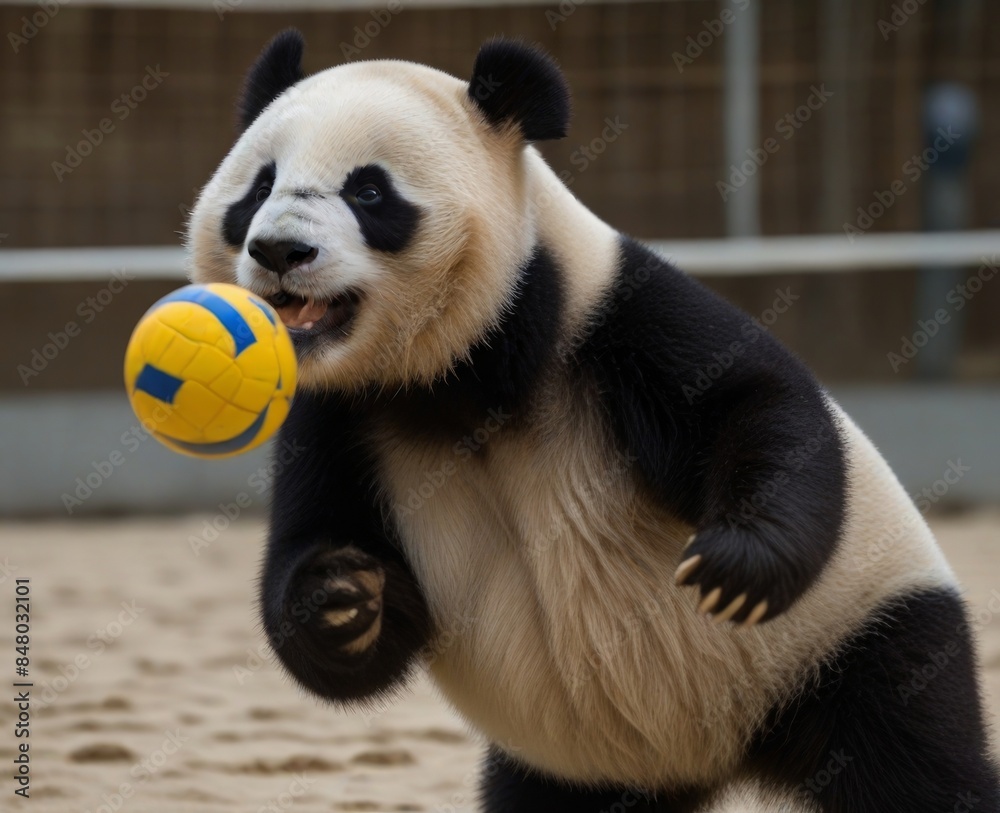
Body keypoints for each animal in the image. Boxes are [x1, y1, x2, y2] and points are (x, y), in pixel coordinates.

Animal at [187, 30, 1000, 812]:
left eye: (368, 190)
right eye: (259, 187)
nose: (280, 249)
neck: (451, 375)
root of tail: (716, 753)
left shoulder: (603, 313)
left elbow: (755, 405)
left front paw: (738, 567)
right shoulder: (336, 412)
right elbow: (315, 547)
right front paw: (344, 598)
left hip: (852, 636)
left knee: (913, 760)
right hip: (576, 768)